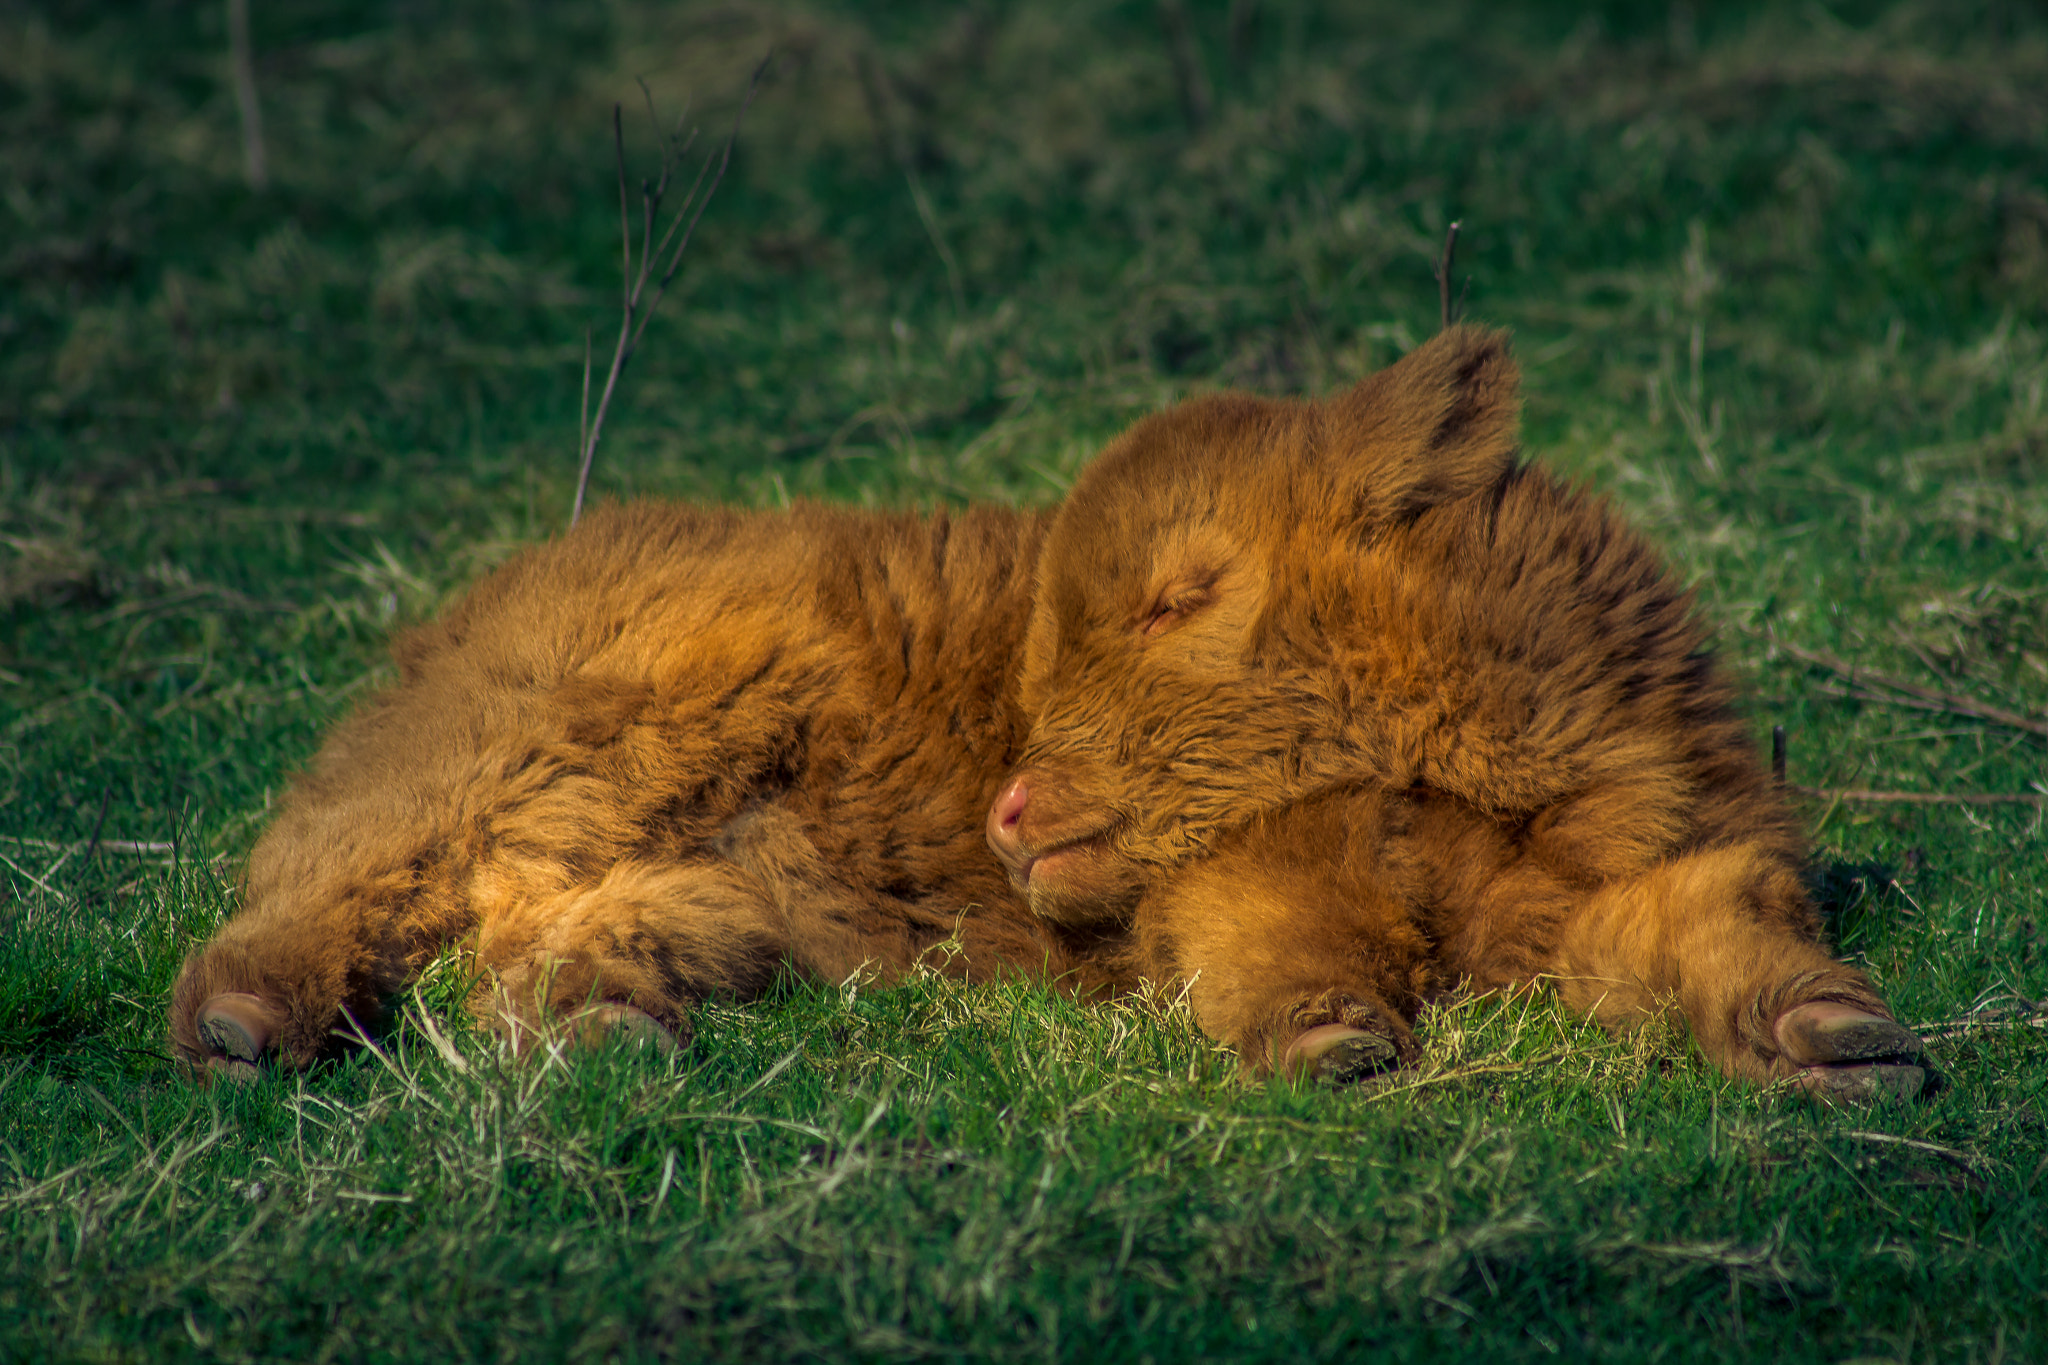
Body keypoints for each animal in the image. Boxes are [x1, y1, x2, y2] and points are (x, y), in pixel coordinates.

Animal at [167, 325, 1925, 1105]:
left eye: (1179, 594)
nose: (1010, 809)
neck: (1472, 807)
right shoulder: (1236, 879)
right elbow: (1287, 944)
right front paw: (1337, 1044)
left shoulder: (1661, 870)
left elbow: (1727, 931)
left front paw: (1845, 1043)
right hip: (560, 733)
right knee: (334, 885)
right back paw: (244, 1025)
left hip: (655, 863)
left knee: (533, 936)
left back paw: (610, 1019)